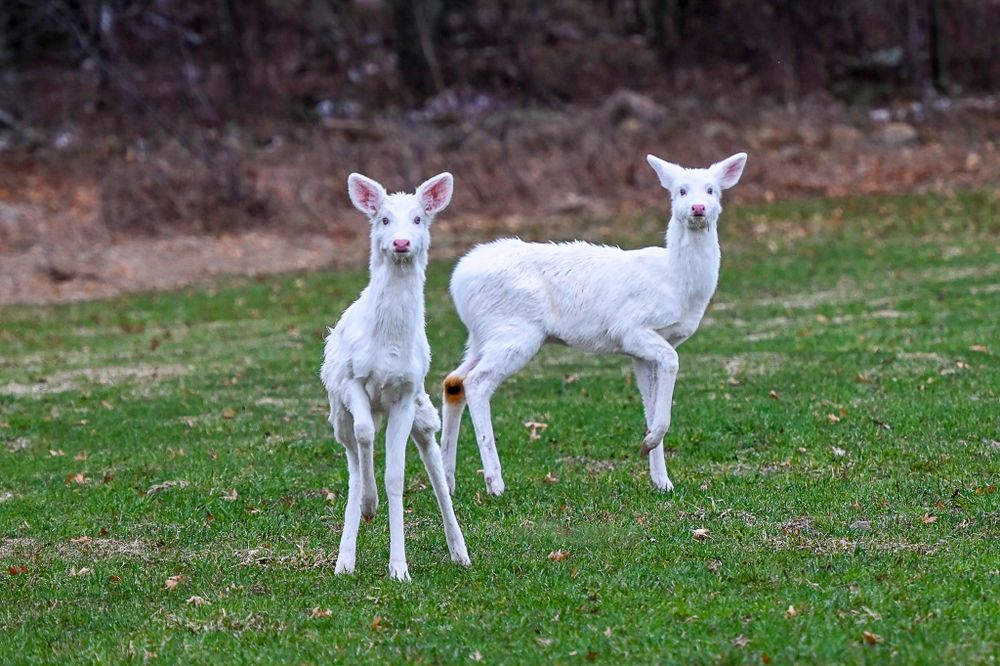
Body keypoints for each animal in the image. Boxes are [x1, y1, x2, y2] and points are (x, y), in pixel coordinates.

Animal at [320, 171, 470, 580]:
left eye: (419, 218)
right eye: (384, 219)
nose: (401, 243)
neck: (387, 343)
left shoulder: (405, 393)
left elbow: (397, 475)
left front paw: (399, 568)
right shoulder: (353, 382)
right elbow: (365, 437)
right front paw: (370, 506)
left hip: (423, 407)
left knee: (434, 464)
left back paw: (460, 551)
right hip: (338, 411)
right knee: (353, 462)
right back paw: (345, 559)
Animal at [439, 153, 748, 496]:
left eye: (711, 190)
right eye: (680, 190)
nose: (698, 208)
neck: (675, 281)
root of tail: (457, 282)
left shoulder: (644, 351)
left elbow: (651, 404)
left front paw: (661, 479)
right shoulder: (630, 328)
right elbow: (672, 362)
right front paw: (652, 447)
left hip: (483, 335)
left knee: (453, 382)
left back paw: (448, 481)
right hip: (515, 331)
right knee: (476, 383)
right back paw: (495, 482)